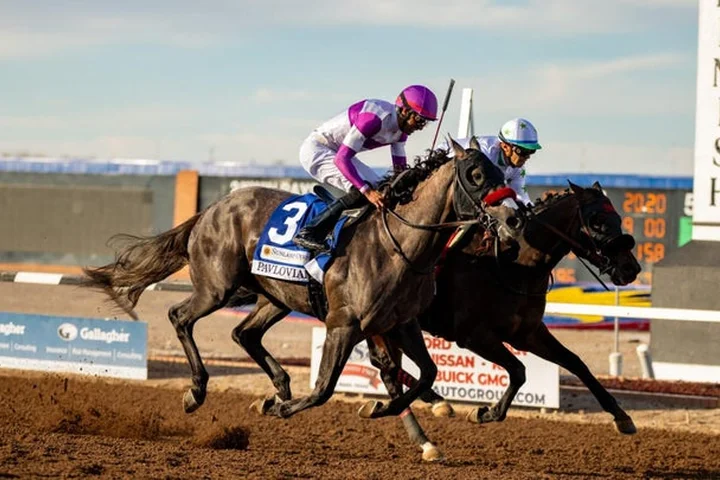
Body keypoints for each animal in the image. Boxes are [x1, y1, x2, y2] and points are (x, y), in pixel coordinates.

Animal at [82, 139, 524, 427]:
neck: (399, 246)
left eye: (502, 172)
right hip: (217, 288)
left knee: (244, 333)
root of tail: (211, 209)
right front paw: (284, 409)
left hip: (276, 297)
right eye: (475, 174)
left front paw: (381, 407)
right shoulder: (344, 324)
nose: (514, 217)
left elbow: (427, 373)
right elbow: (326, 386)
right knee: (180, 316)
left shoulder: (401, 323)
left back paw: (279, 387)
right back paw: (199, 390)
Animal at [366, 180, 641, 455]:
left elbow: (575, 362)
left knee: (388, 369)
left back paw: (427, 429)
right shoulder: (474, 336)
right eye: (597, 221)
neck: (514, 266)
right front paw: (485, 413)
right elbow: (518, 371)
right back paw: (428, 412)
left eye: (618, 218)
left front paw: (621, 416)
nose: (631, 268)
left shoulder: (527, 334)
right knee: (389, 368)